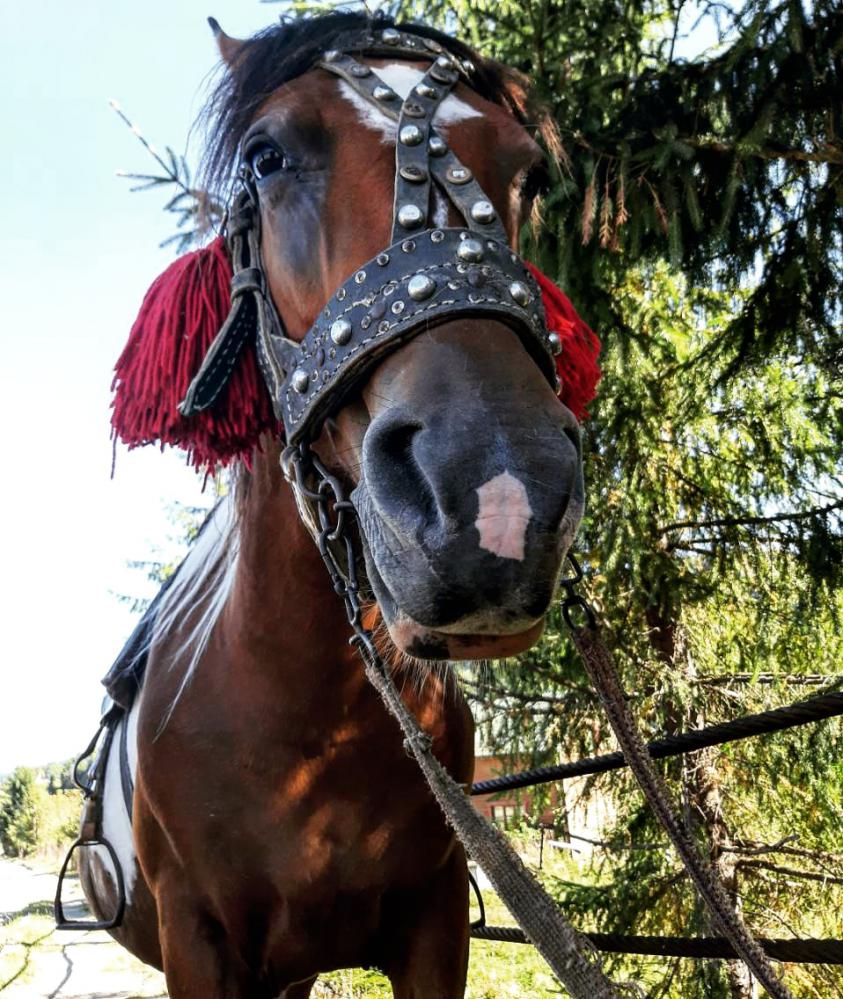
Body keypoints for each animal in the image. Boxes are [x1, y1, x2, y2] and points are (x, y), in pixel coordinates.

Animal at [76, 12, 599, 998]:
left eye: (525, 174)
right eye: (266, 154)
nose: (498, 495)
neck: (304, 729)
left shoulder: (435, 929)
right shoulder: (198, 947)